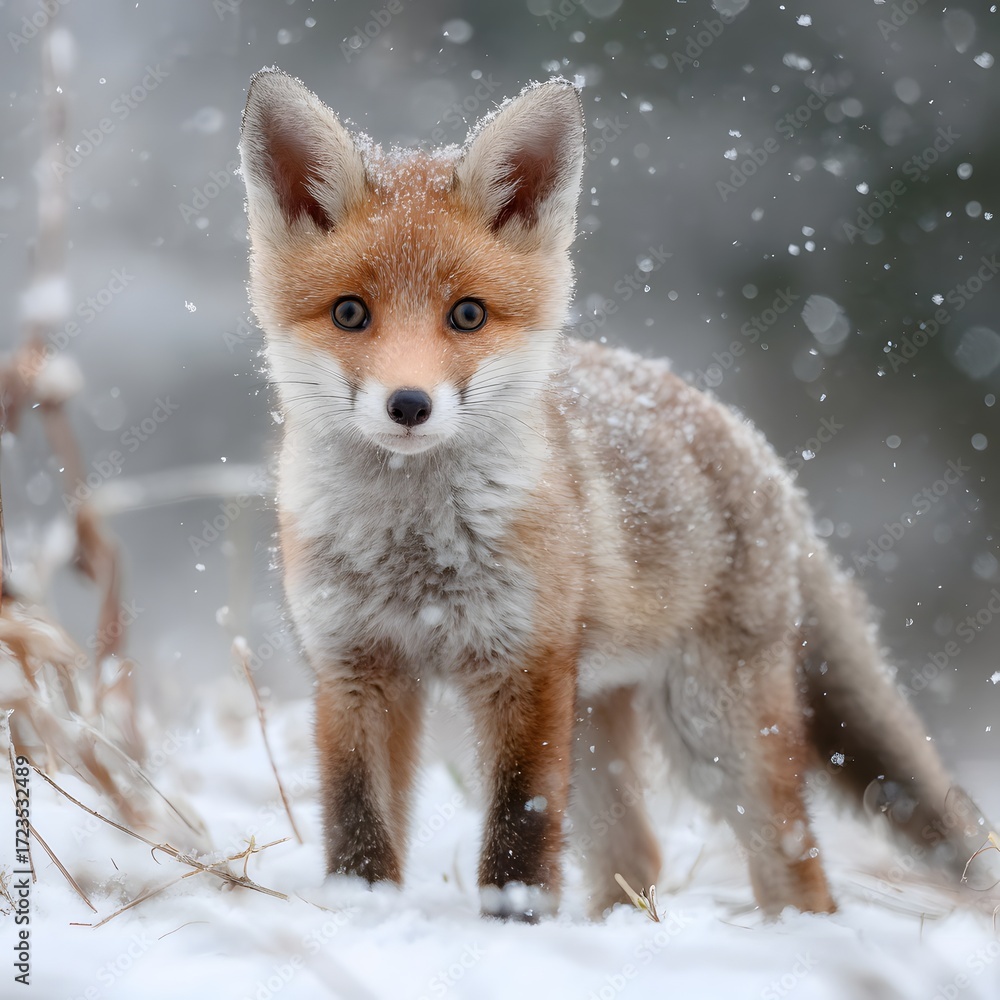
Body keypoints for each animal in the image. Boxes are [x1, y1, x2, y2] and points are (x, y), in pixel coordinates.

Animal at [239, 69, 995, 921]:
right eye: (349, 313)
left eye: (467, 314)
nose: (409, 405)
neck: (414, 557)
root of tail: (755, 448)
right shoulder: (354, 668)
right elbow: (359, 826)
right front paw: (361, 915)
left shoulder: (524, 669)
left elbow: (519, 831)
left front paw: (513, 929)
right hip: (601, 719)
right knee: (639, 853)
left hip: (707, 728)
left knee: (796, 868)